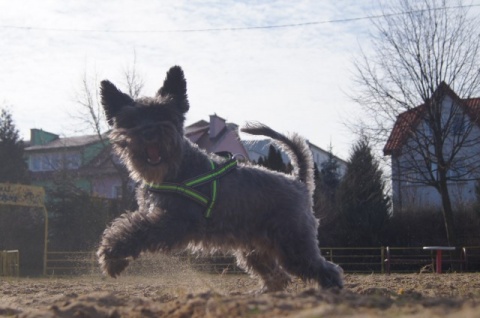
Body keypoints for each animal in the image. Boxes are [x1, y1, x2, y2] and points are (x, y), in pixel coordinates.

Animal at [95, 66, 344, 292]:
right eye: (131, 120)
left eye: (164, 114)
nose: (148, 133)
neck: (177, 168)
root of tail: (298, 181)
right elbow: (131, 223)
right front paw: (115, 257)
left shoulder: (176, 220)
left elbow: (136, 227)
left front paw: (111, 254)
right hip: (255, 247)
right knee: (277, 275)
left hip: (293, 242)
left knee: (324, 268)